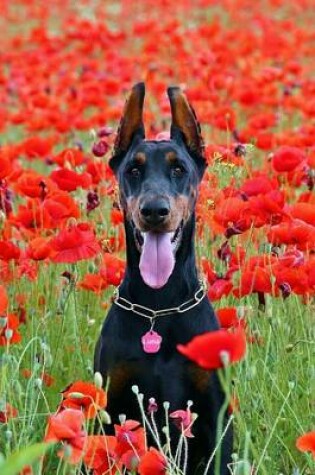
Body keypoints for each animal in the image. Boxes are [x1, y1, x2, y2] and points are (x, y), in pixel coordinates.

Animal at [94, 83, 232, 474]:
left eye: (179, 168)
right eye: (133, 170)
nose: (154, 211)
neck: (160, 307)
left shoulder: (215, 416)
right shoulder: (110, 409)